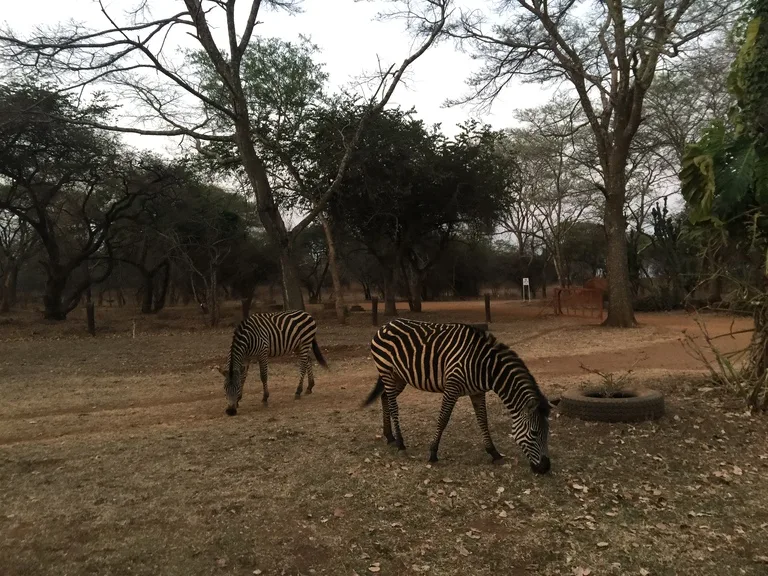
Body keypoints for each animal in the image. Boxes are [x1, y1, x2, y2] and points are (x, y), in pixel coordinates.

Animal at [362, 318, 552, 474]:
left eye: (547, 432)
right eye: (534, 433)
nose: (545, 468)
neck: (484, 366)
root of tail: (385, 325)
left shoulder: (477, 392)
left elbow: (483, 420)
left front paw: (494, 453)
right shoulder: (451, 388)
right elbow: (443, 419)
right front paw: (433, 453)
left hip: (399, 377)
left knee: (385, 398)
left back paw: (389, 436)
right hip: (387, 371)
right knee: (393, 405)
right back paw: (400, 443)